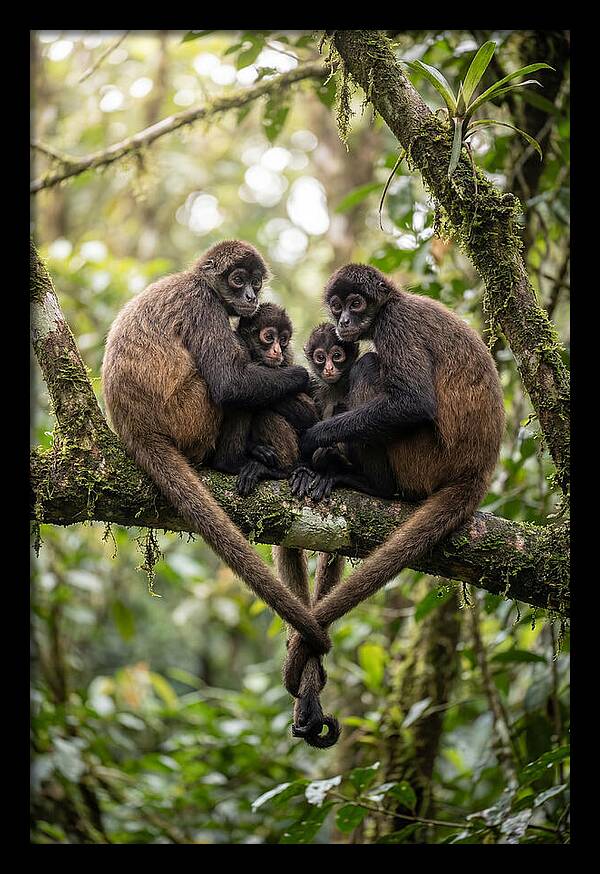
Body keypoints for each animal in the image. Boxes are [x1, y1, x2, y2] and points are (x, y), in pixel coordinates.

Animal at [101, 240, 331, 658]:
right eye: (238, 280)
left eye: (256, 282)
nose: (251, 296)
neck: (197, 281)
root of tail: (134, 427)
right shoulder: (203, 305)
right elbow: (229, 383)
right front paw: (302, 376)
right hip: (190, 415)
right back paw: (233, 462)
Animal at [283, 262, 505, 706]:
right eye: (337, 306)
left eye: (356, 304)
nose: (344, 322)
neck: (394, 302)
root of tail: (477, 470)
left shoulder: (394, 324)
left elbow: (413, 402)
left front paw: (314, 441)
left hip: (423, 458)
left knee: (370, 365)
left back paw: (367, 483)